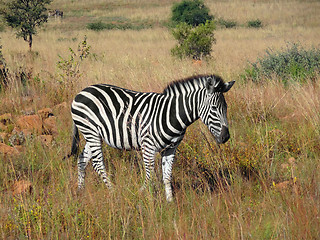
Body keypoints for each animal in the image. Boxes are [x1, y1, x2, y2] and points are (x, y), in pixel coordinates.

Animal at [70, 74, 234, 202]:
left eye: (226, 107)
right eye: (214, 108)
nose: (226, 137)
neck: (171, 114)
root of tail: (82, 92)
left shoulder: (171, 149)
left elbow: (167, 176)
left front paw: (170, 203)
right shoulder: (148, 146)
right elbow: (150, 176)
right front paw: (142, 195)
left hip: (93, 135)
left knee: (82, 160)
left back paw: (80, 191)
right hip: (91, 132)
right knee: (98, 163)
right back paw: (113, 191)